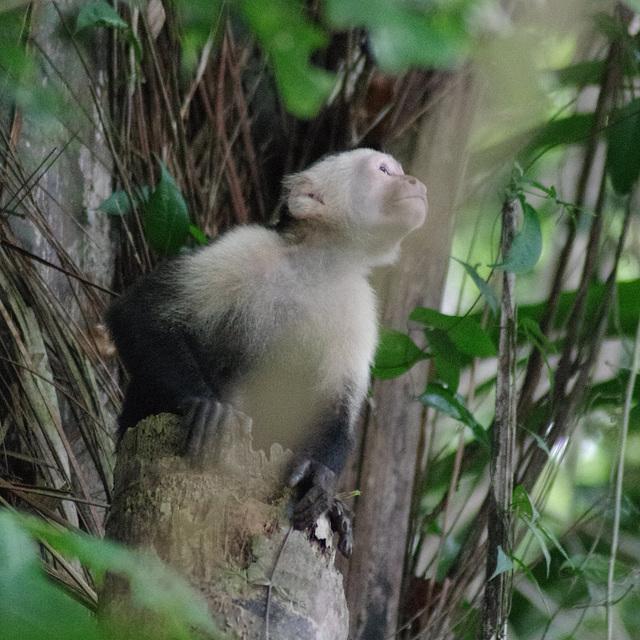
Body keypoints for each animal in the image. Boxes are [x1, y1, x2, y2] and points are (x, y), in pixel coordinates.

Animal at [107, 149, 428, 556]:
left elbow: (336, 407)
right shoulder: (247, 246)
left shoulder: (358, 304)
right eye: (384, 171)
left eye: (398, 171)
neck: (319, 262)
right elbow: (136, 312)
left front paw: (319, 475)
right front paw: (207, 405)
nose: (415, 182)